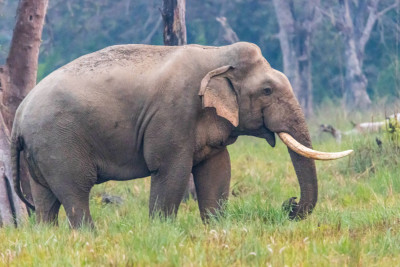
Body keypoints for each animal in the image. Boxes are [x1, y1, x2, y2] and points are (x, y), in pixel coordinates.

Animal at [10, 42, 352, 228]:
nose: (289, 204)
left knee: (46, 200)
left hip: (41, 151)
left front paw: (215, 229)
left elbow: (218, 170)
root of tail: (18, 117)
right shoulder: (173, 112)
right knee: (75, 193)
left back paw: (49, 238)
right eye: (267, 91)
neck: (218, 56)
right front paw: (160, 231)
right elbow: (171, 170)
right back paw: (90, 237)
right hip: (59, 142)